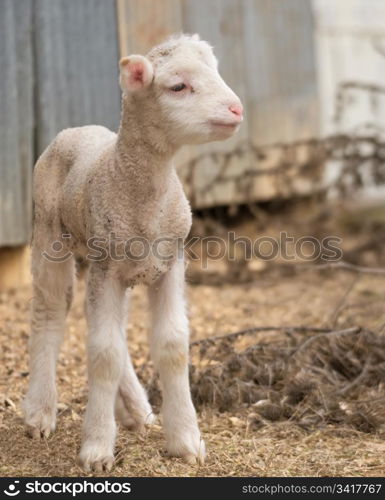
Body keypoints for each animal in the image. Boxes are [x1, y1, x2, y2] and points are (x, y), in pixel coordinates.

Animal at [22, 33, 242, 470]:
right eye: (178, 86)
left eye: (216, 72)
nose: (236, 108)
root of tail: (76, 128)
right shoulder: (107, 269)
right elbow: (103, 355)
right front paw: (96, 448)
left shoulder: (170, 261)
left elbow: (172, 347)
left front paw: (186, 441)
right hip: (52, 236)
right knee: (50, 310)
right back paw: (40, 411)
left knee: (108, 327)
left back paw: (136, 409)